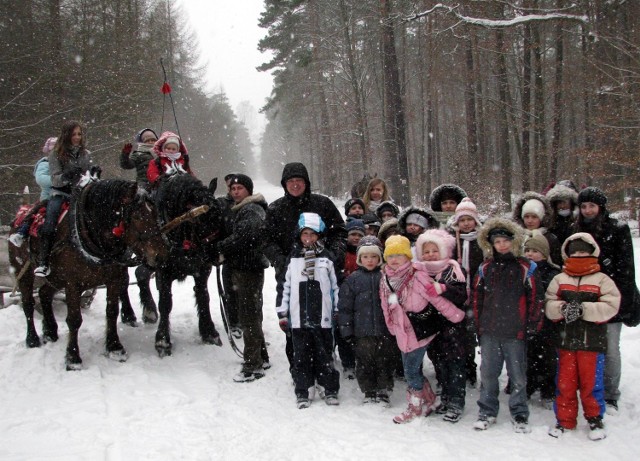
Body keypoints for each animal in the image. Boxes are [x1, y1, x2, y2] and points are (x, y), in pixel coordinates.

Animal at [9, 180, 169, 370]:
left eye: (156, 212)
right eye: (137, 216)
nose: (161, 255)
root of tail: (20, 216)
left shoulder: (113, 279)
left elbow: (112, 312)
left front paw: (115, 348)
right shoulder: (72, 284)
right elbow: (74, 320)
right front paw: (73, 358)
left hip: (56, 278)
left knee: (44, 294)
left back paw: (50, 331)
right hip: (23, 271)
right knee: (28, 303)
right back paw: (32, 339)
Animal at [149, 172, 225, 356]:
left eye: (221, 216)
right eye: (200, 221)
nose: (218, 256)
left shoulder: (202, 269)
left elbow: (203, 296)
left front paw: (209, 332)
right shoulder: (163, 271)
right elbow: (165, 303)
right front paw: (163, 341)